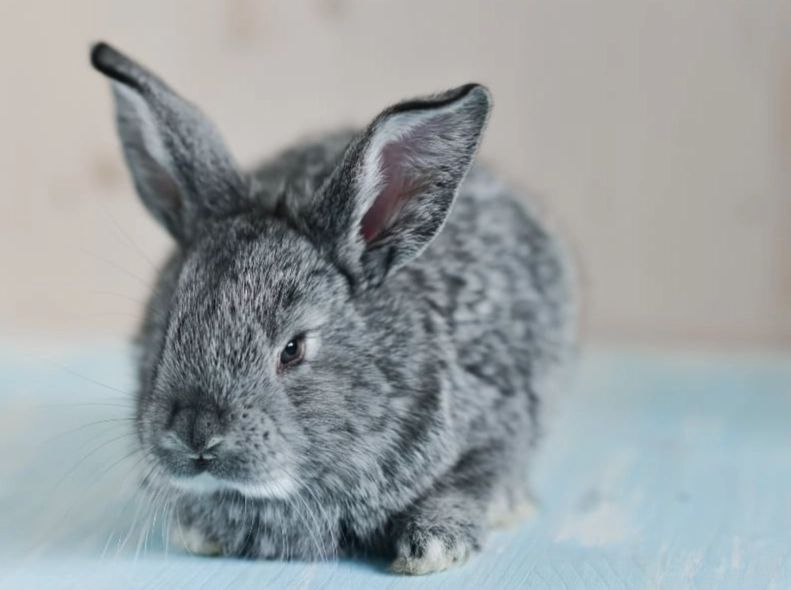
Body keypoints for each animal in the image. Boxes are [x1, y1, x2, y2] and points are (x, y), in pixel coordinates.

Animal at [90, 41, 577, 575]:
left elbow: (472, 483)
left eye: (293, 349)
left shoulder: (500, 428)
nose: (196, 436)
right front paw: (200, 532)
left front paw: (433, 548)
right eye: (166, 332)